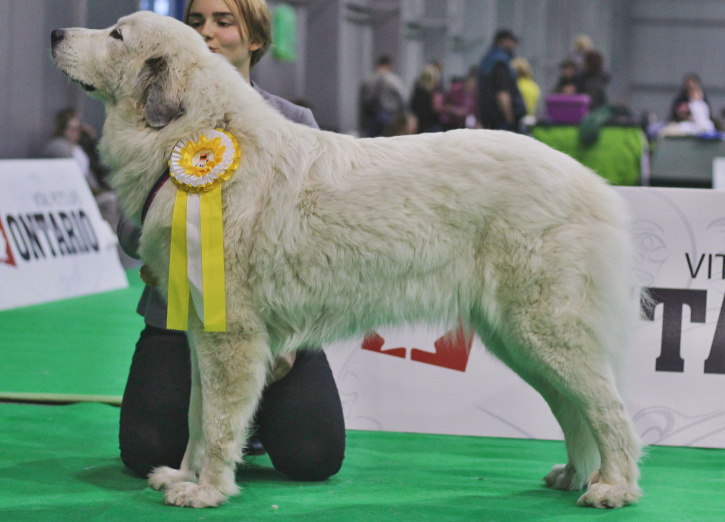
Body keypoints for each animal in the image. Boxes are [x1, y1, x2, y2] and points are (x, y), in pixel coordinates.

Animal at [51, 11, 640, 508]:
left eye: (116, 35)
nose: (55, 33)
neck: (198, 134)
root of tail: (589, 180)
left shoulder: (230, 335)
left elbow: (219, 423)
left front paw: (208, 490)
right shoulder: (201, 328)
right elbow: (197, 417)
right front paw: (183, 475)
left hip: (543, 328)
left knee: (607, 408)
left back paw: (613, 487)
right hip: (518, 339)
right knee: (573, 408)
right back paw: (576, 474)